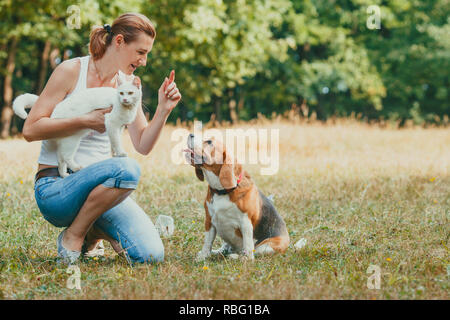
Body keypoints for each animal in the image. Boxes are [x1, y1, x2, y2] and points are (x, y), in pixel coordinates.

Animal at [12, 69, 141, 178]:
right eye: (121, 93)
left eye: (130, 93)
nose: (124, 99)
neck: (128, 109)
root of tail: (54, 111)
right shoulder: (112, 124)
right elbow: (116, 141)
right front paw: (120, 153)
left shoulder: (119, 128)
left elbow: (114, 142)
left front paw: (115, 154)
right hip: (72, 141)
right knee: (66, 156)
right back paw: (76, 168)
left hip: (65, 142)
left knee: (60, 159)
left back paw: (64, 175)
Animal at [185, 132, 290, 260]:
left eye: (209, 142)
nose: (191, 134)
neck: (222, 191)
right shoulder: (209, 221)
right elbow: (207, 243)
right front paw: (202, 257)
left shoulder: (246, 223)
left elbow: (248, 247)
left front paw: (246, 260)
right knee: (225, 249)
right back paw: (219, 252)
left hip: (267, 246)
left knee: (253, 251)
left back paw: (235, 256)